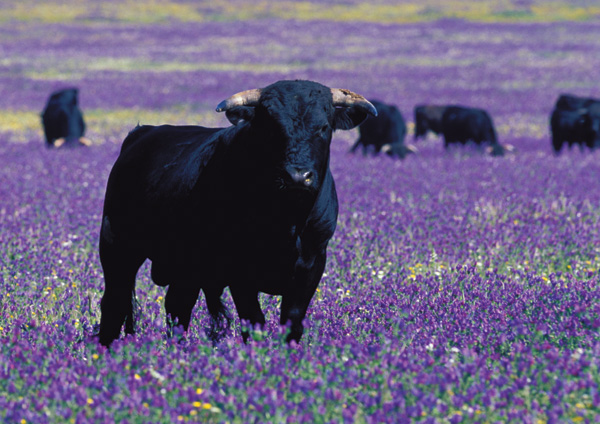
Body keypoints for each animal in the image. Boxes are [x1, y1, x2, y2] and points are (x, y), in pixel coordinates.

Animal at [98, 79, 378, 348]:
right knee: (115, 303)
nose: (298, 176)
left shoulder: (313, 261)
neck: (286, 220)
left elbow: (292, 321)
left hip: (185, 267)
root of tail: (142, 133)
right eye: (272, 128)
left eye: (323, 128)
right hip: (117, 247)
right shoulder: (239, 269)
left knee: (177, 309)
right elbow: (253, 321)